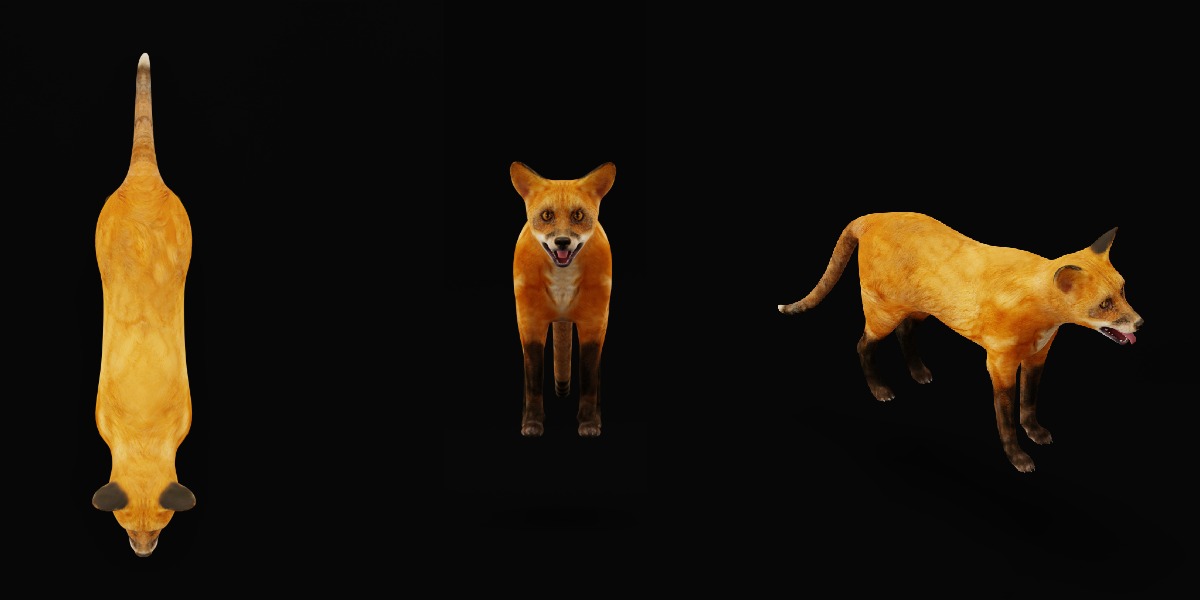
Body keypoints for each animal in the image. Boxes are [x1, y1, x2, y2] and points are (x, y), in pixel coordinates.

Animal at [511, 162, 616, 437]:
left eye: (578, 216)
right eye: (547, 216)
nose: (562, 242)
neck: (562, 286)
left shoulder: (593, 322)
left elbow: (589, 379)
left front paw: (589, 423)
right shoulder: (530, 321)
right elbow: (533, 380)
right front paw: (532, 422)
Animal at [777, 212, 1143, 473]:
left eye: (1123, 290)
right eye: (1105, 304)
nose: (1140, 322)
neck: (1040, 316)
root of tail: (873, 215)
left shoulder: (1038, 357)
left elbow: (1029, 404)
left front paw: (1035, 432)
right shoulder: (999, 364)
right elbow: (1006, 420)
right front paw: (1018, 458)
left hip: (921, 310)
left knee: (905, 332)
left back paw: (918, 372)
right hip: (883, 315)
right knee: (862, 345)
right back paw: (880, 390)